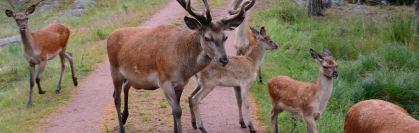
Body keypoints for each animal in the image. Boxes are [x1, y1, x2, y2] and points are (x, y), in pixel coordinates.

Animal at [106, 0, 254, 132]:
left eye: (225, 37)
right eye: (207, 37)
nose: (223, 60)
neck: (183, 67)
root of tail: (110, 36)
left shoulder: (181, 83)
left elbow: (174, 110)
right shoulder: (164, 80)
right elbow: (177, 110)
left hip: (129, 76)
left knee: (123, 89)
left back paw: (124, 117)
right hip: (114, 70)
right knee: (116, 98)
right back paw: (121, 128)